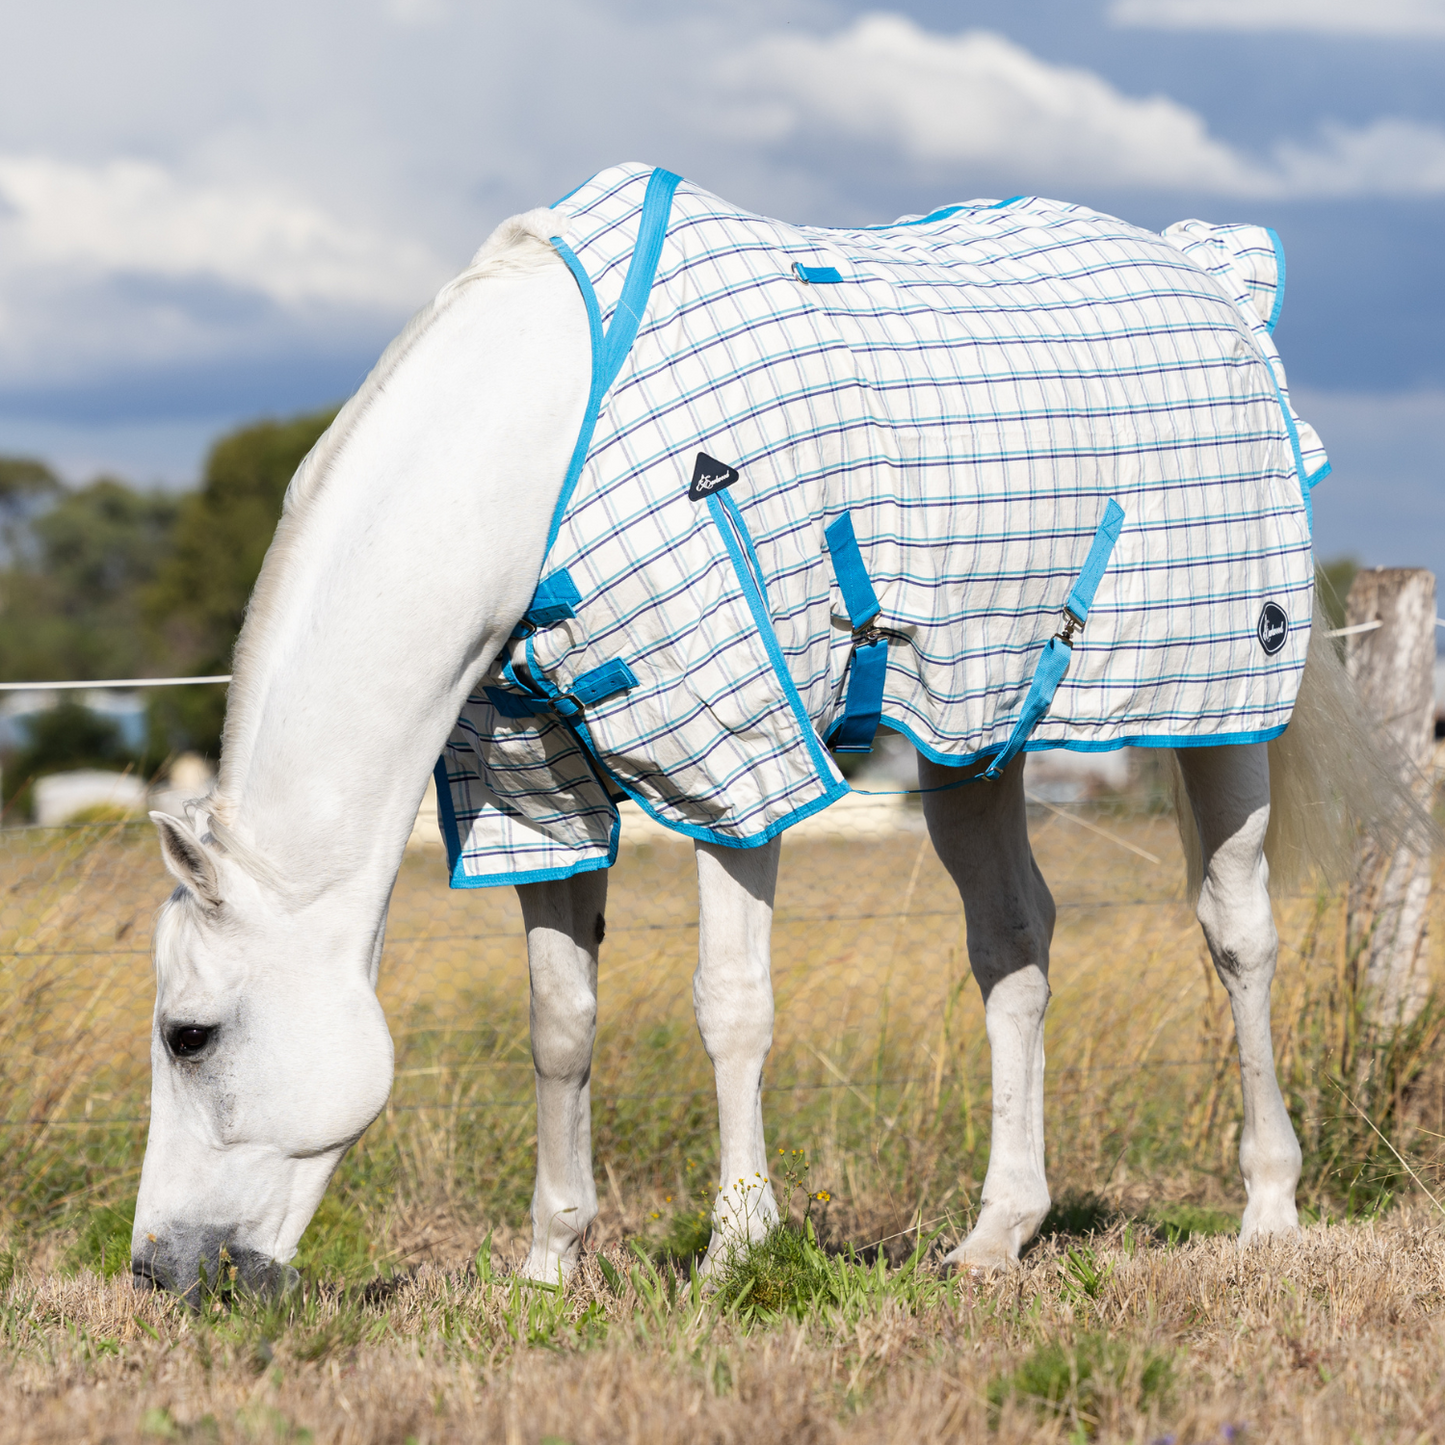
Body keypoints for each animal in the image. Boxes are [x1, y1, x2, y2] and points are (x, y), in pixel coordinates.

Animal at [132, 164, 1375, 1294]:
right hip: (972, 728)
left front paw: (736, 1247)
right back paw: (994, 1235)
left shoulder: (731, 762)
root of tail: (1214, 279)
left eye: (187, 1033)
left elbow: (729, 1006)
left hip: (1220, 706)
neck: (541, 458)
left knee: (1236, 932)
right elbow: (559, 1021)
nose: (156, 1268)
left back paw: (1267, 1210)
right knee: (1013, 943)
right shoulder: (543, 794)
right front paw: (549, 1264)